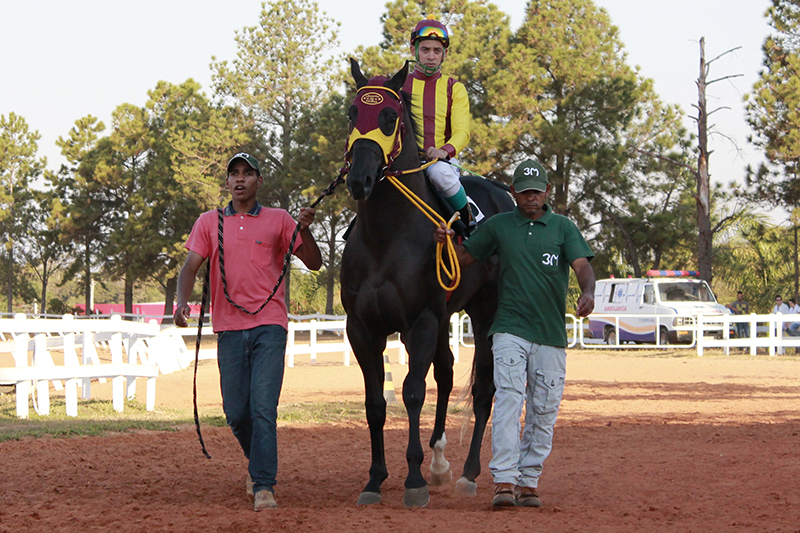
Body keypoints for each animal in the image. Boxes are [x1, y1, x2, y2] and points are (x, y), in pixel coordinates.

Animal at [340, 58, 515, 507]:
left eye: (389, 117)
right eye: (352, 112)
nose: (359, 179)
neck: (386, 237)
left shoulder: (419, 321)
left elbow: (413, 392)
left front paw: (414, 480)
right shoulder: (362, 328)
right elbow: (375, 403)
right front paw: (375, 479)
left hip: (485, 314)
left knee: (483, 389)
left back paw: (468, 474)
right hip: (445, 316)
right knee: (448, 373)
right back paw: (440, 462)